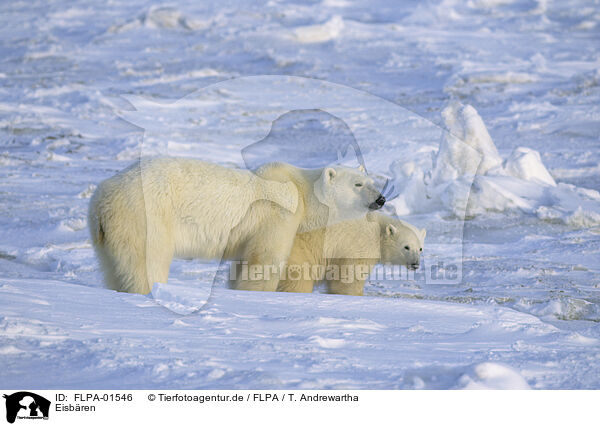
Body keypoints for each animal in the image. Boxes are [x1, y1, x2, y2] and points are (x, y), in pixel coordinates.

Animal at [88, 158, 384, 294]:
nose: (381, 199)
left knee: (114, 264)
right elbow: (265, 258)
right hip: (145, 215)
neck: (301, 191)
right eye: (358, 184)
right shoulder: (277, 214)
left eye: (372, 181)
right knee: (147, 260)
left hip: (110, 230)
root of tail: (102, 199)